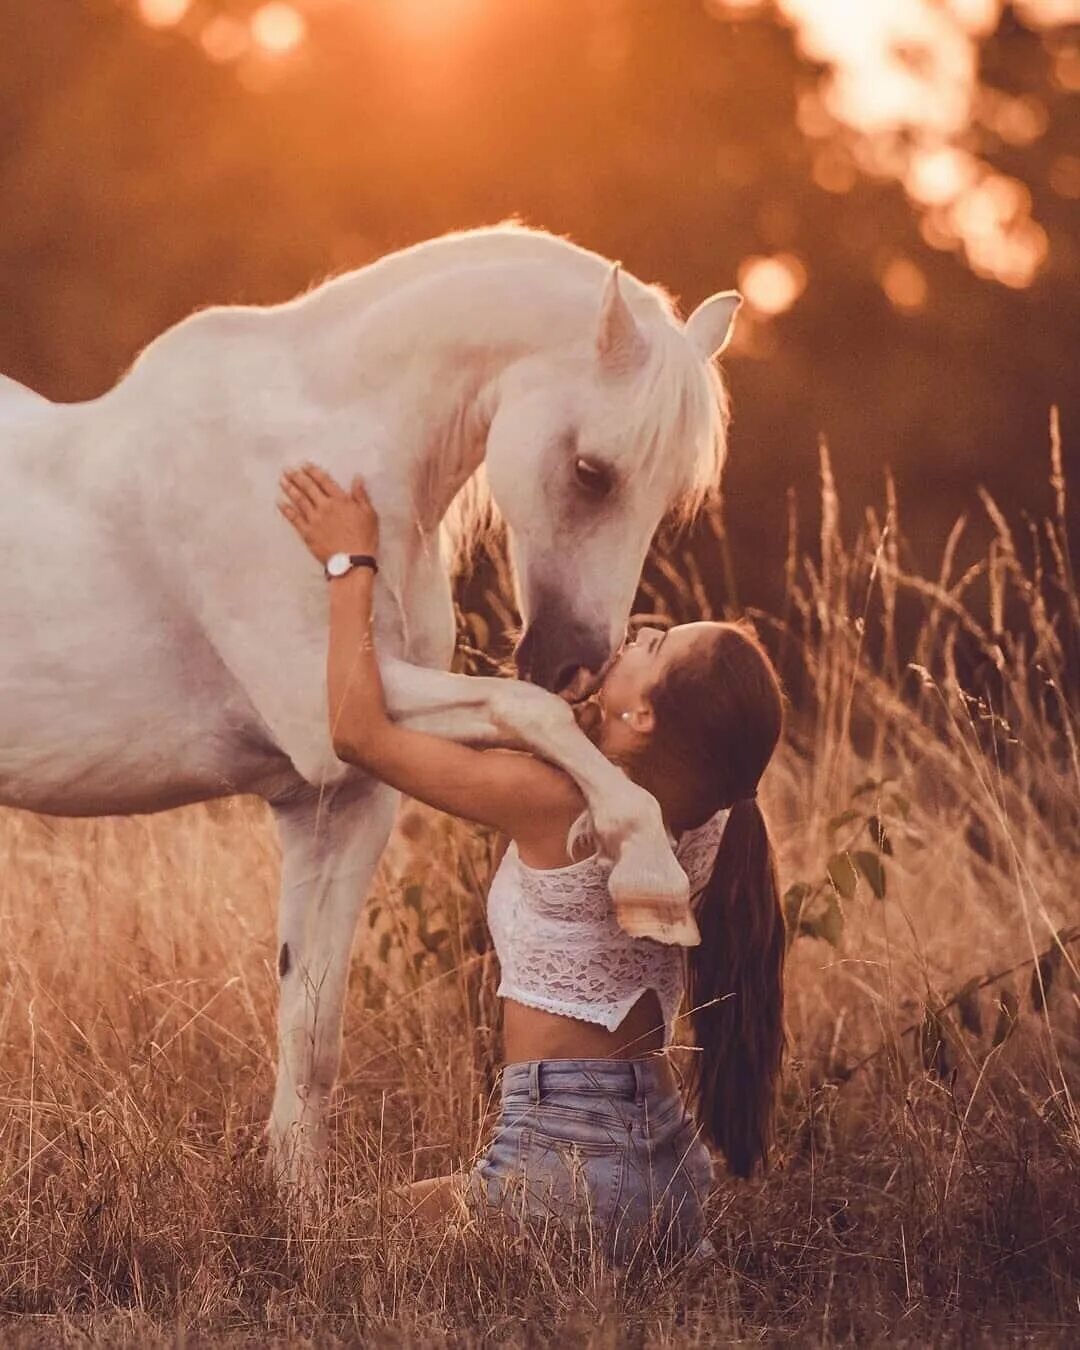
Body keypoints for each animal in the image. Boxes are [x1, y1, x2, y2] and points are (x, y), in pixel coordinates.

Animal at [0, 224, 739, 1182]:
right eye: (591, 471)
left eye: (671, 492)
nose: (576, 665)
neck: (325, 456)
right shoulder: (325, 722)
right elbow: (528, 714)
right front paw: (647, 868)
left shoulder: (341, 798)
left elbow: (311, 1034)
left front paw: (298, 1202)